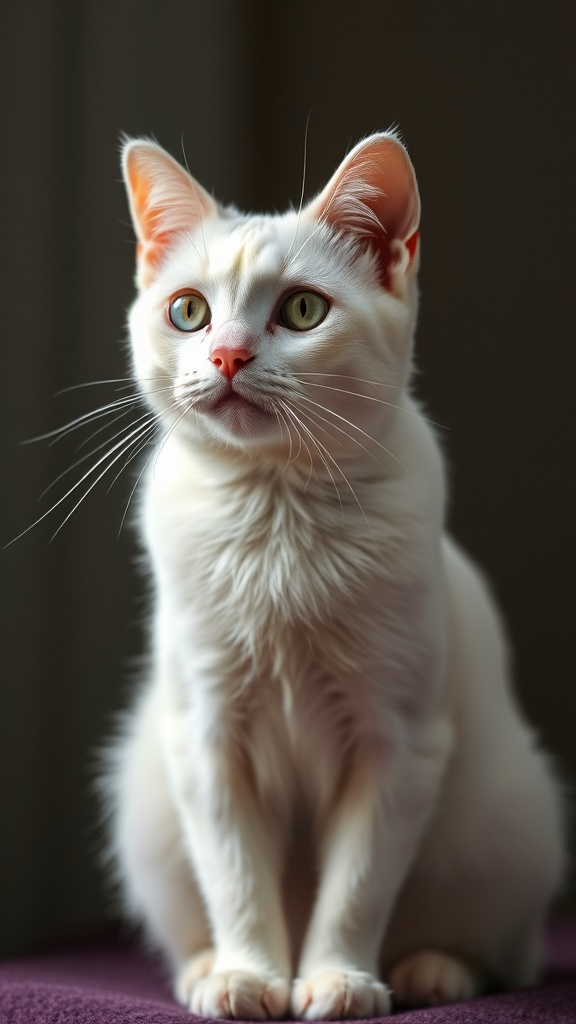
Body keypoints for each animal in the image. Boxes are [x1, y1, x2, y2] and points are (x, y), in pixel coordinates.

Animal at [105, 130, 561, 1015]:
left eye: (302, 310)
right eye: (188, 311)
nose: (227, 354)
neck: (278, 519)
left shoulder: (399, 745)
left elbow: (357, 884)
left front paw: (337, 978)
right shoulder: (206, 739)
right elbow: (236, 878)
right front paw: (250, 975)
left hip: (508, 819)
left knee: (505, 952)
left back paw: (433, 969)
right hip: (148, 805)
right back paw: (205, 969)